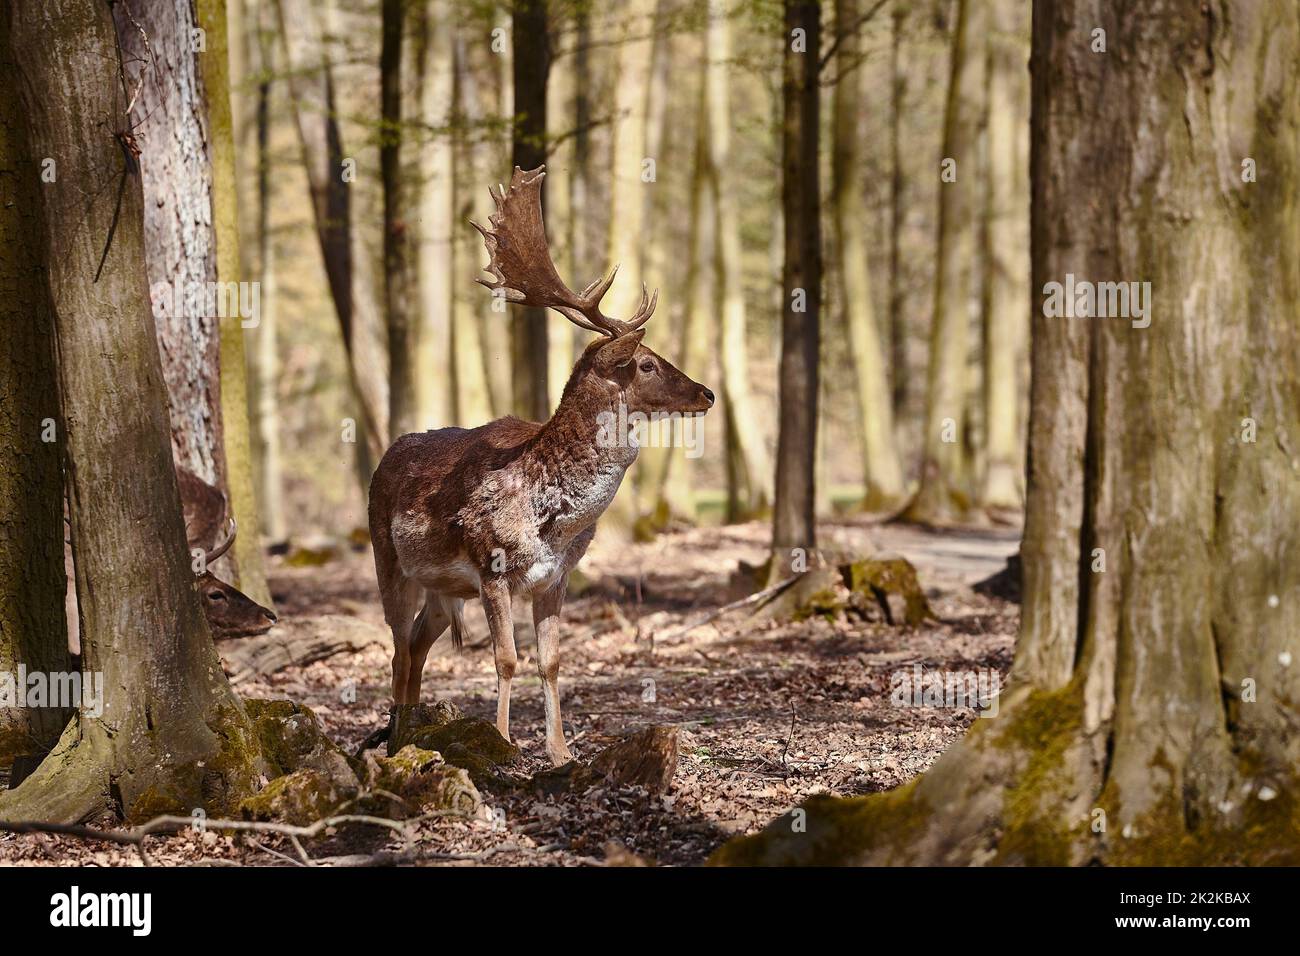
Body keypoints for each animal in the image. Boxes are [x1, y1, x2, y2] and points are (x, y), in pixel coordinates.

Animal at [368, 165, 715, 766]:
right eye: (646, 362)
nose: (708, 393)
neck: (551, 516)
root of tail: (383, 458)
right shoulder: (491, 565)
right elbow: (505, 659)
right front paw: (503, 743)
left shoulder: (557, 575)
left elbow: (550, 662)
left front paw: (559, 752)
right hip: (388, 559)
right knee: (395, 647)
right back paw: (394, 740)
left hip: (443, 589)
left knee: (414, 644)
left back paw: (409, 730)